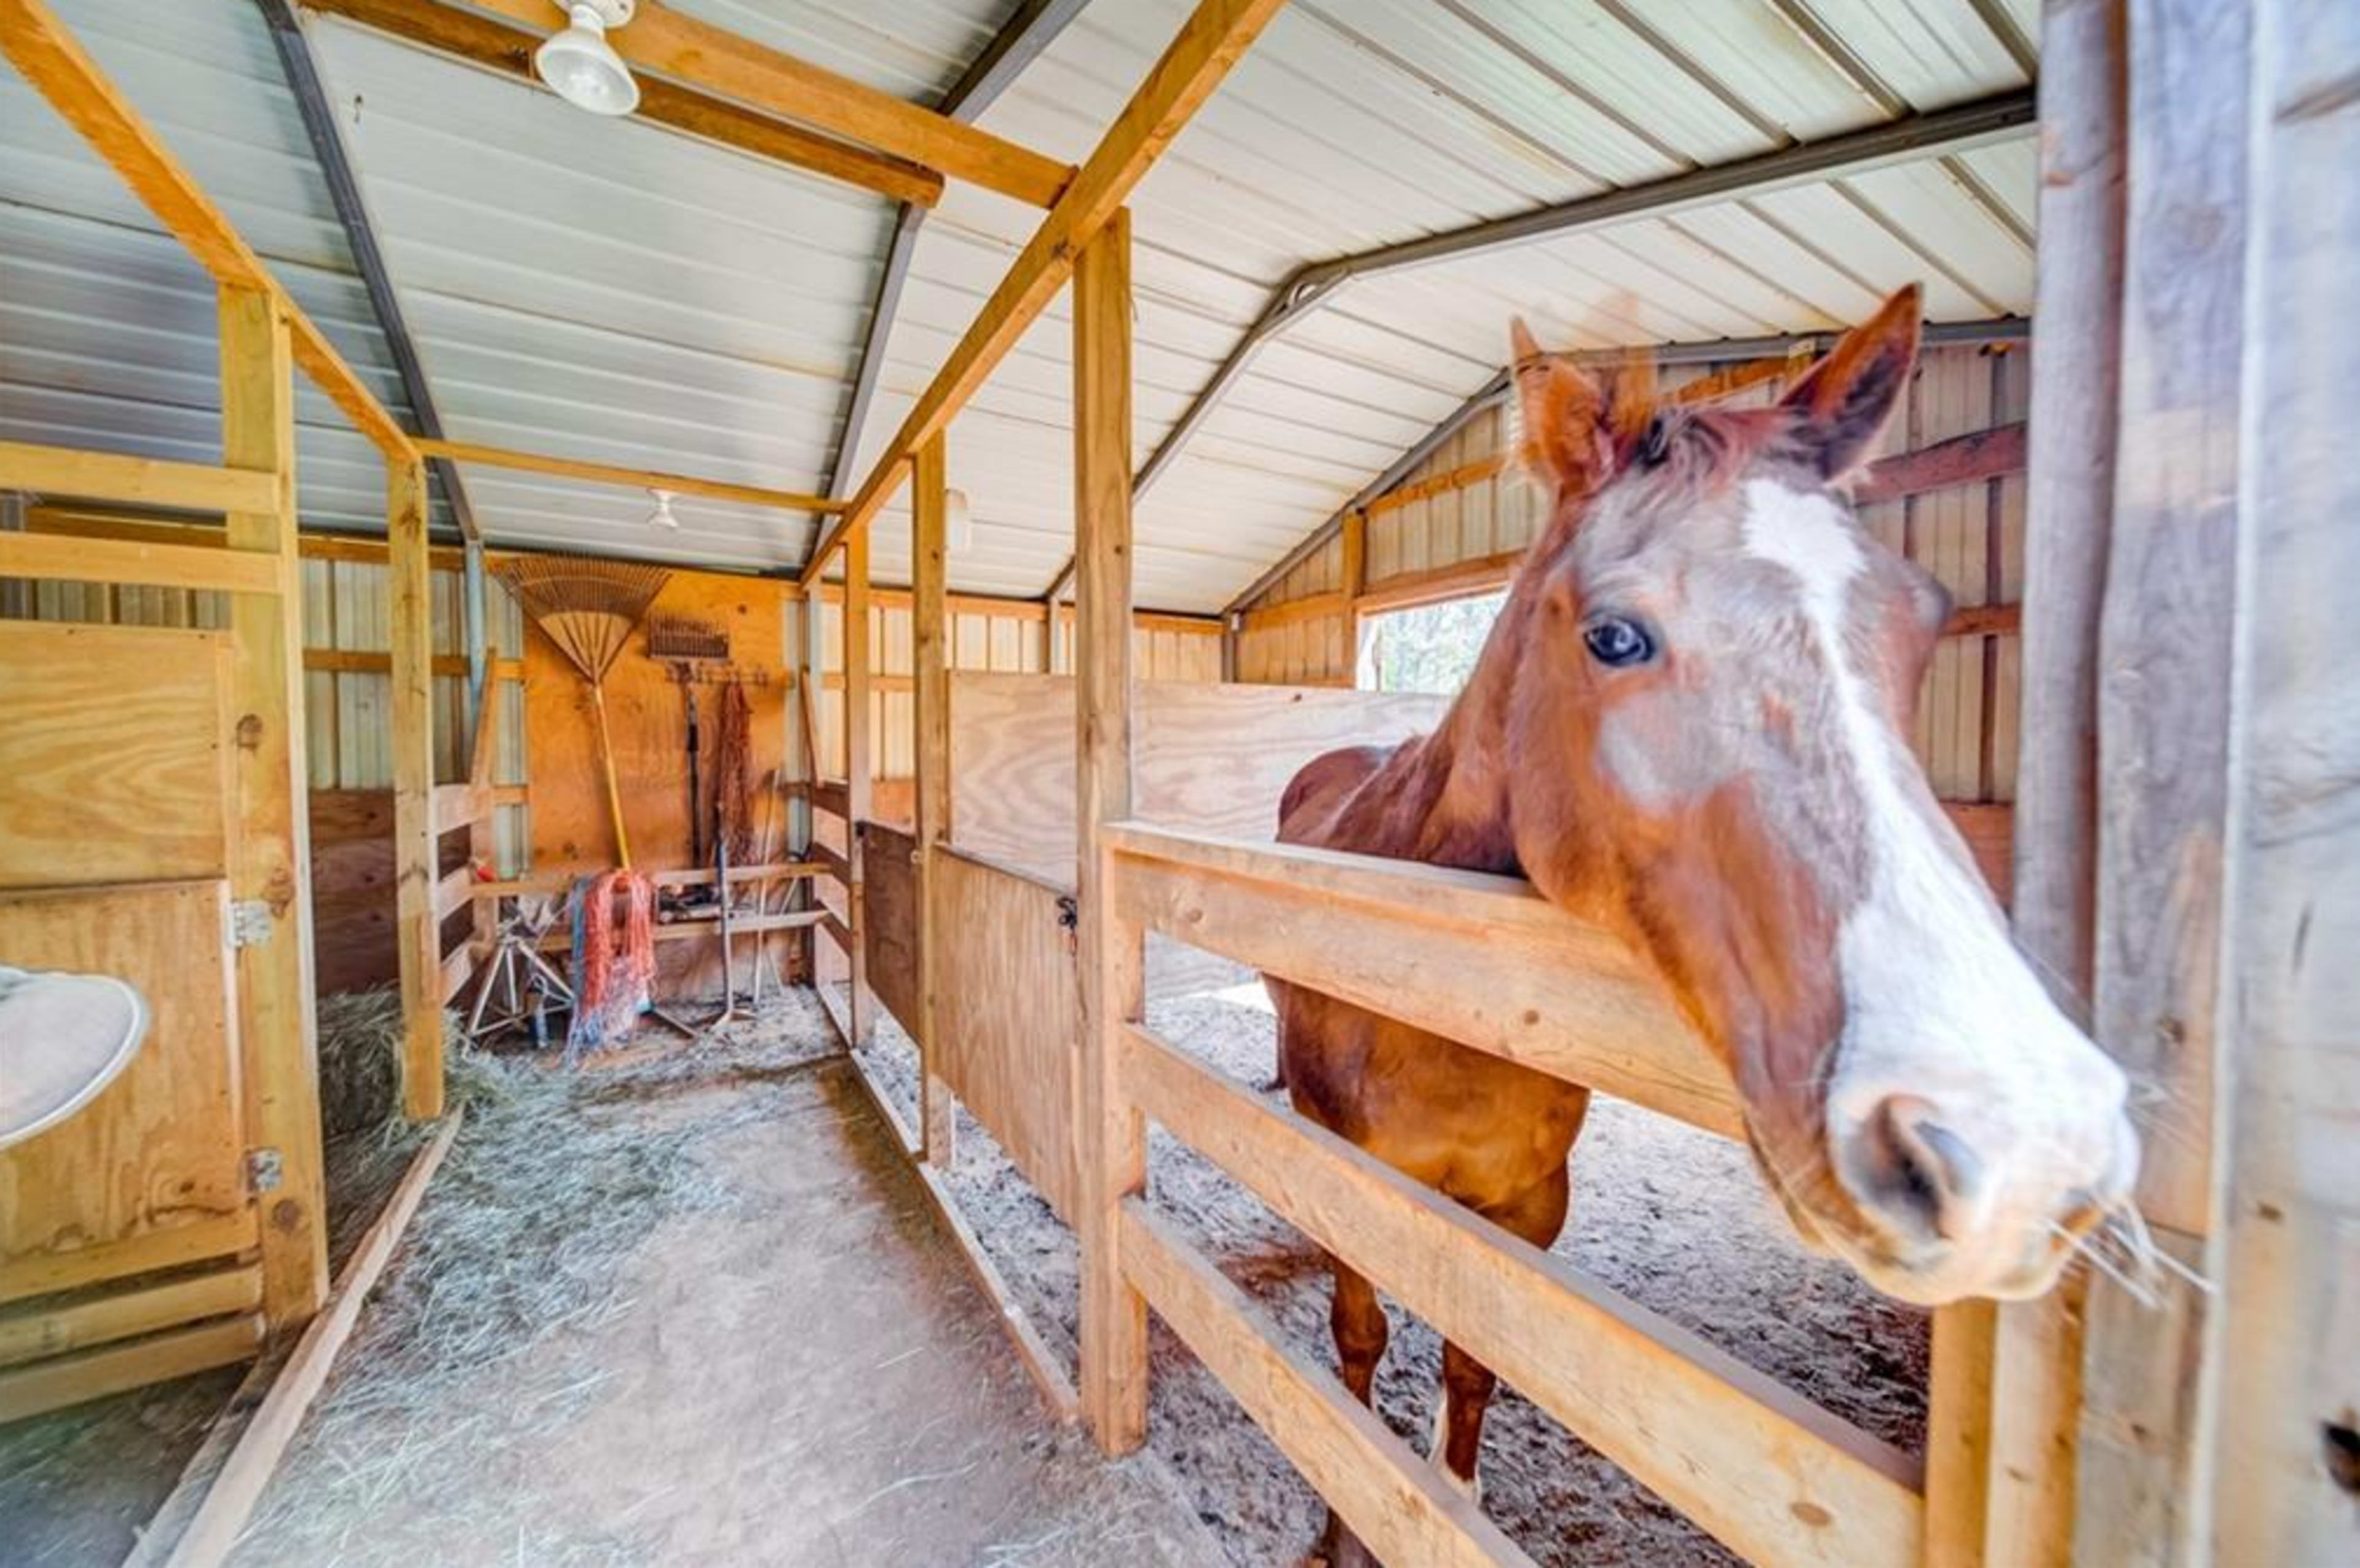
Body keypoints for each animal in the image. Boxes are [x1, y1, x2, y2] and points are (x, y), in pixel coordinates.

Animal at [1269, 286, 2140, 1562]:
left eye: (1923, 618)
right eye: (1614, 636)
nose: (2024, 1144)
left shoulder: (1526, 1208)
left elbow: (1480, 1357)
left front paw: (1447, 1501)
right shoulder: (1352, 1174)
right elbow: (1361, 1341)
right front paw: (1342, 1521)